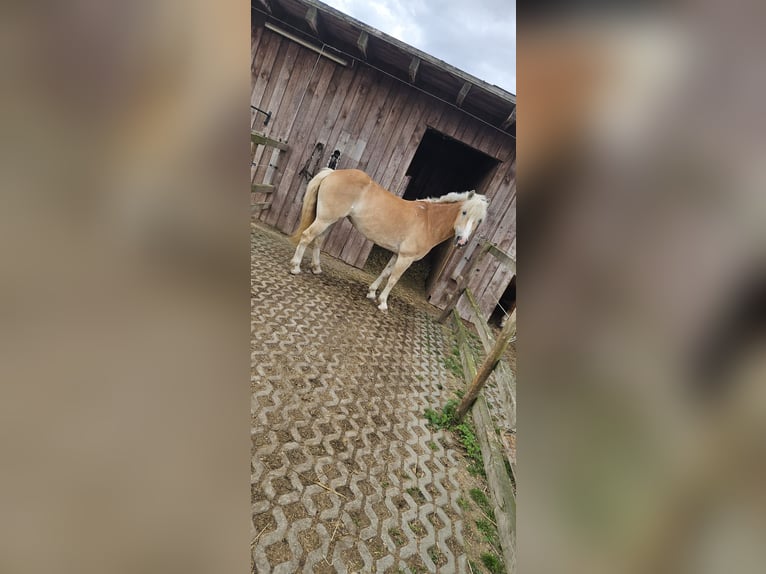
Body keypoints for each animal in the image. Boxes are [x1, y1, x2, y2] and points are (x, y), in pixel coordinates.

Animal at [292, 168, 488, 310]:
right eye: (464, 212)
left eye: (479, 221)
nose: (462, 241)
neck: (428, 220)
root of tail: (333, 172)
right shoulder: (406, 257)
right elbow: (394, 278)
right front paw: (383, 303)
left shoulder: (397, 254)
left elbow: (385, 272)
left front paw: (372, 293)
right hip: (325, 219)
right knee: (307, 237)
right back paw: (295, 267)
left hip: (330, 220)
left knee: (318, 240)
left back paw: (316, 269)